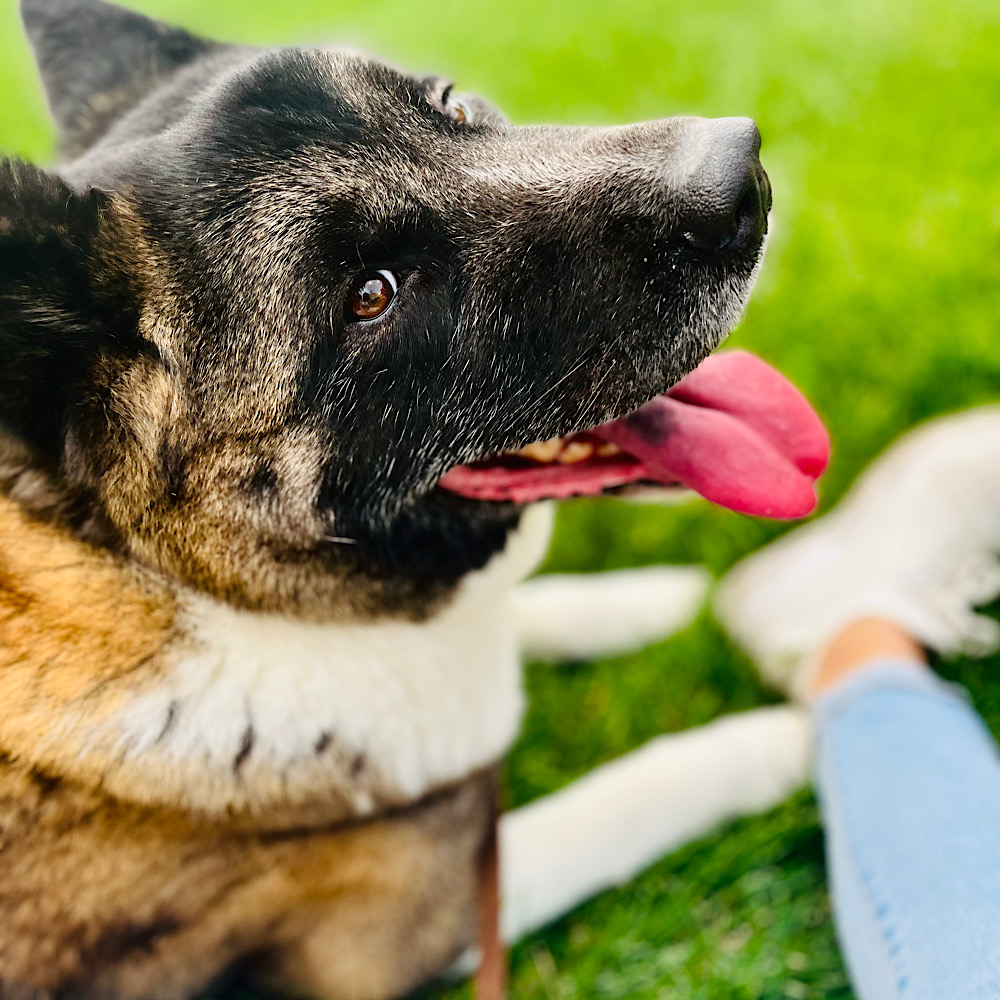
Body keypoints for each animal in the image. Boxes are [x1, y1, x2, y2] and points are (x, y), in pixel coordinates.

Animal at [0, 1, 828, 1000]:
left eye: (452, 108)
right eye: (371, 296)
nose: (741, 174)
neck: (177, 585)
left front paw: (641, 600)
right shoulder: (425, 921)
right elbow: (630, 795)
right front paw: (804, 738)